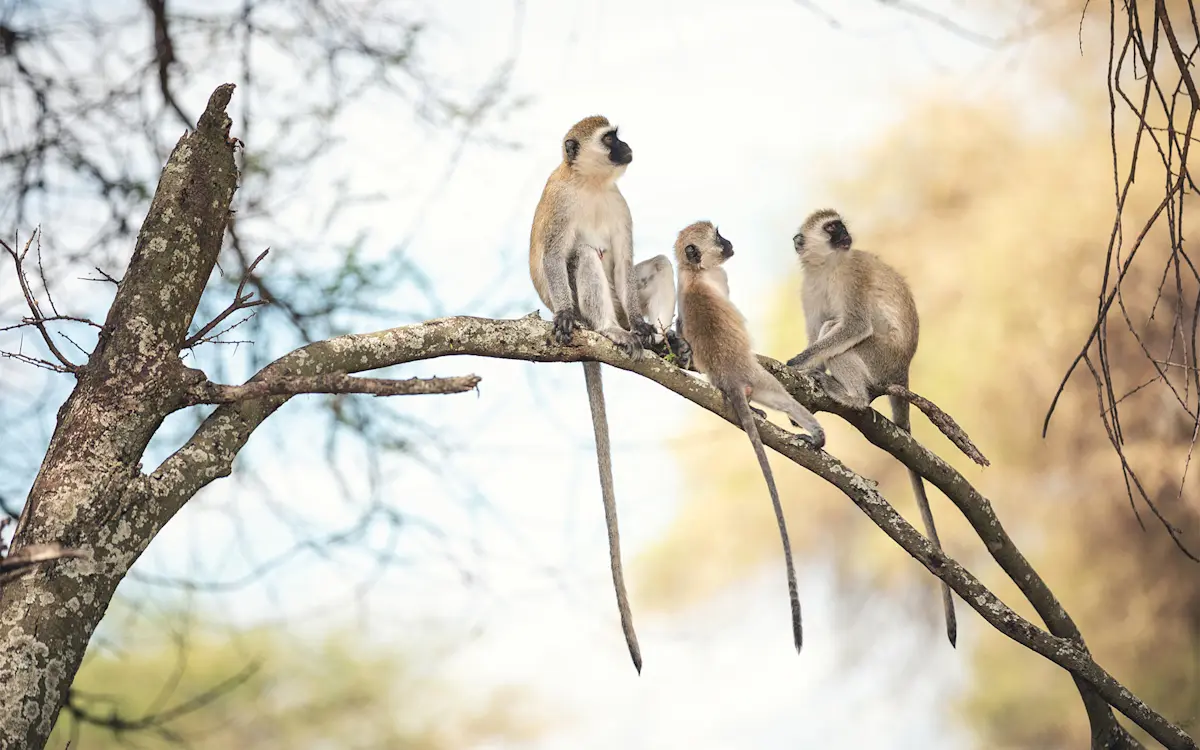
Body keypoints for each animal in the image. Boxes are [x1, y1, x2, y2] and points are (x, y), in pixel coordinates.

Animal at [674, 220, 825, 653]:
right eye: (717, 237)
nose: (730, 243)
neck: (695, 275)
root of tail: (729, 377)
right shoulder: (721, 282)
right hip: (758, 378)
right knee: (782, 394)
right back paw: (813, 430)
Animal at [786, 208, 958, 648]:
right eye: (832, 228)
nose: (846, 235)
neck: (826, 267)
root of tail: (903, 369)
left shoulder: (852, 277)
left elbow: (851, 327)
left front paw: (797, 363)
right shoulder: (808, 289)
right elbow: (816, 330)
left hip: (879, 358)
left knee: (841, 332)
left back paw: (853, 398)